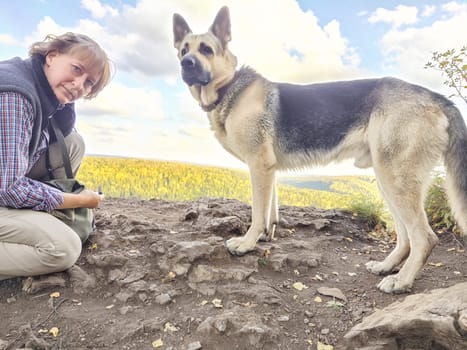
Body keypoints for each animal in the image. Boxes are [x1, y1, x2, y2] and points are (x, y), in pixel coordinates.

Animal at [174, 6, 467, 294]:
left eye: (206, 49)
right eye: (183, 49)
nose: (186, 63)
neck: (228, 89)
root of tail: (435, 97)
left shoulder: (259, 165)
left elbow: (257, 212)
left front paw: (247, 244)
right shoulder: (268, 170)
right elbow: (270, 211)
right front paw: (266, 236)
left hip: (395, 179)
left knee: (424, 237)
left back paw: (402, 280)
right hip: (388, 180)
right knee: (405, 236)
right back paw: (387, 266)